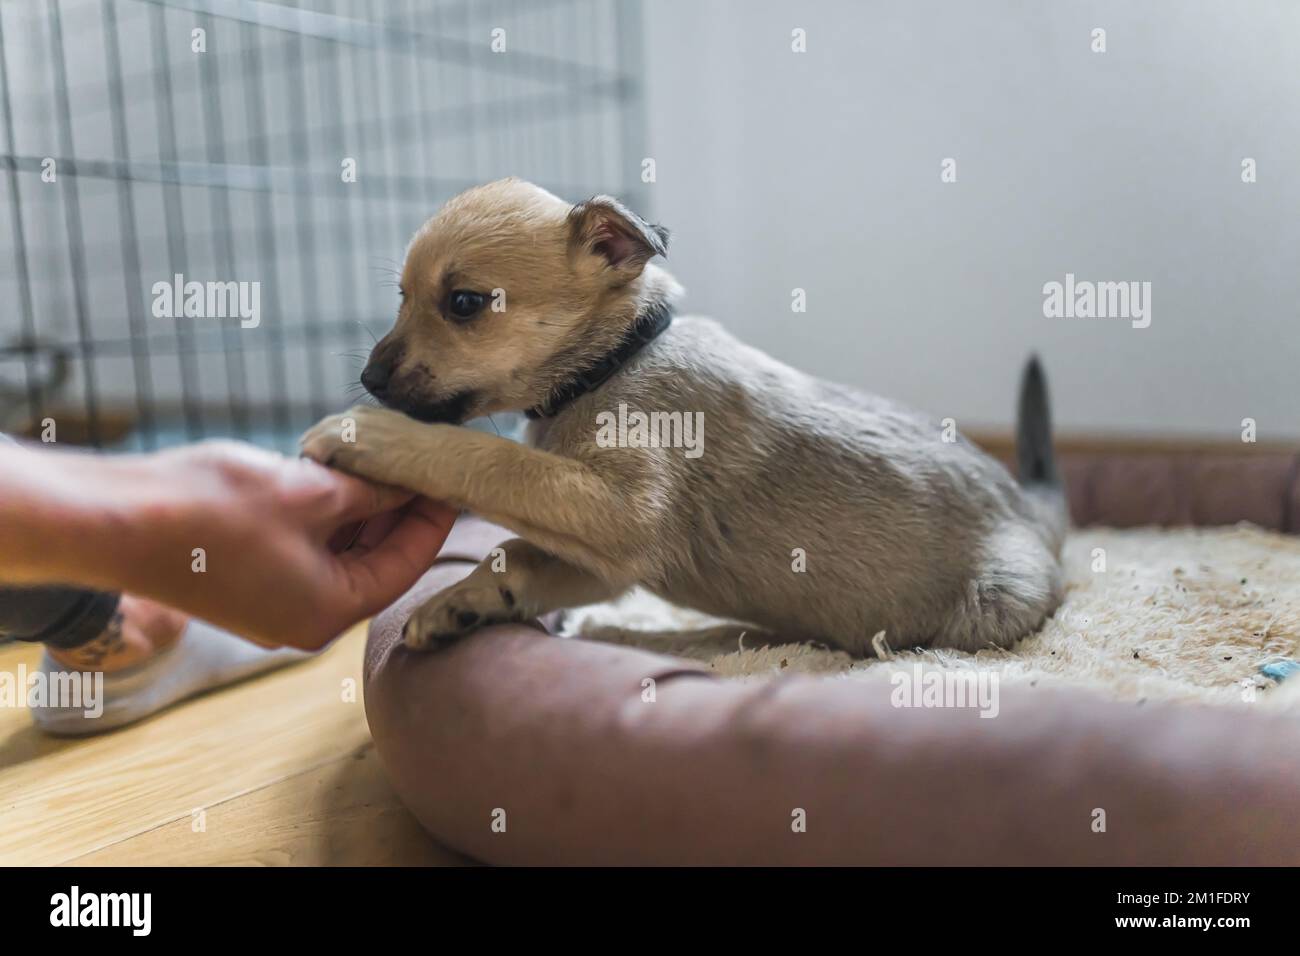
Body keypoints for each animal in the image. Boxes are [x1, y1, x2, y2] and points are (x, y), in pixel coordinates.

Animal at [301, 178, 1066, 658]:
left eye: (463, 304)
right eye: (401, 297)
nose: (368, 379)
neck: (611, 365)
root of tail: (1034, 507)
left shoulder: (621, 510)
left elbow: (492, 460)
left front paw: (371, 436)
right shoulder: (608, 557)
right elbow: (516, 551)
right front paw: (461, 602)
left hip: (995, 598)